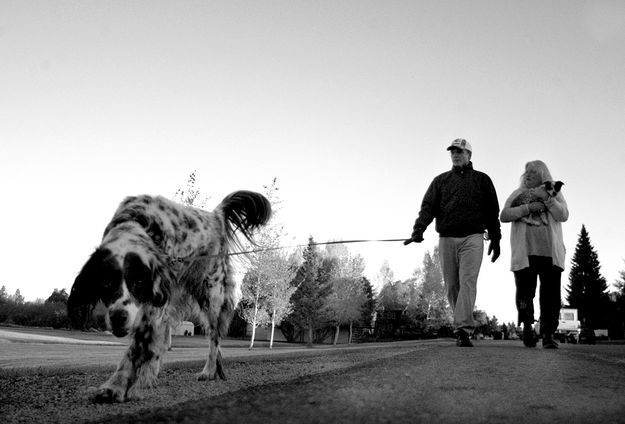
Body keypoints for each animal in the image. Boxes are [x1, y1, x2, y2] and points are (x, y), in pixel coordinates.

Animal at [67, 190, 270, 402]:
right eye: (106, 284)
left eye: (139, 283)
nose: (118, 317)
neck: (137, 221)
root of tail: (216, 215)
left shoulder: (151, 307)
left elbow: (136, 349)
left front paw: (115, 386)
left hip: (211, 296)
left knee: (215, 338)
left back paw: (208, 370)